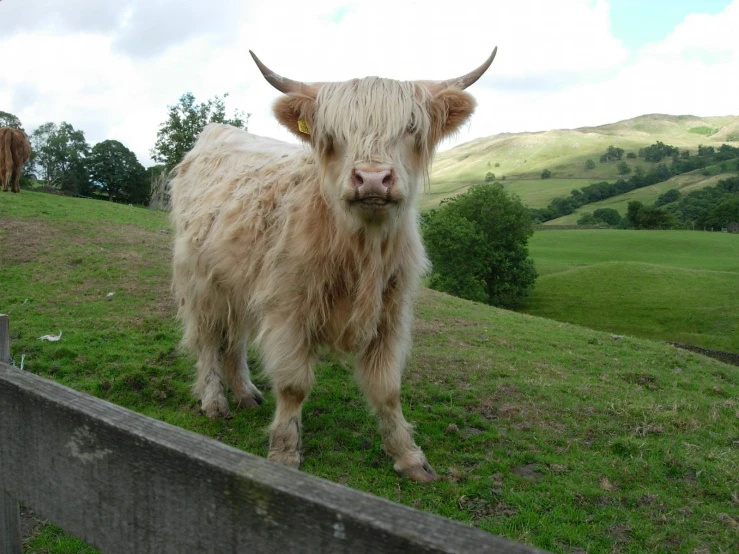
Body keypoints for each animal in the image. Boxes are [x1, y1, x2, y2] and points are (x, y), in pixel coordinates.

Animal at [169, 48, 498, 478]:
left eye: (411, 127)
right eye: (331, 134)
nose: (372, 179)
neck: (360, 250)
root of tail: (215, 133)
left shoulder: (390, 314)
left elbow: (387, 389)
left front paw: (409, 457)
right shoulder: (289, 308)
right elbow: (293, 385)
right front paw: (285, 453)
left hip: (237, 281)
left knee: (234, 338)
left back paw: (245, 393)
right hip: (200, 280)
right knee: (209, 338)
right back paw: (214, 401)